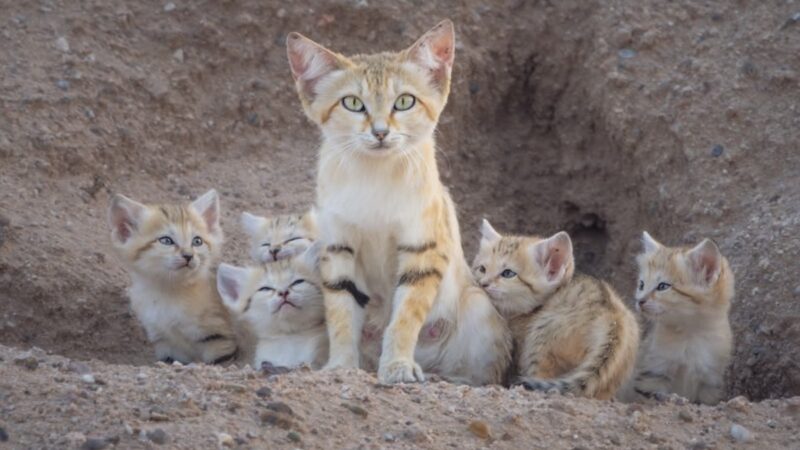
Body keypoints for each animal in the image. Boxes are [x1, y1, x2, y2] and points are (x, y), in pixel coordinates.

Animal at [108, 190, 238, 366]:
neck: (168, 293)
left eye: (197, 241)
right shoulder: (165, 344)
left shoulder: (219, 337)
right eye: (166, 240)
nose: (188, 255)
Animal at [286, 20, 512, 384]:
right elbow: (341, 314)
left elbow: (405, 315)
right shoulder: (338, 247)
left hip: (479, 308)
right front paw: (341, 367)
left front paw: (397, 365)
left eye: (404, 101)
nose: (380, 132)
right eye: (352, 103)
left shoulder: (423, 248)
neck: (374, 177)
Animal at [620, 232, 736, 404]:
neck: (691, 335)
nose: (639, 301)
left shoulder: (711, 382)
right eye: (641, 285)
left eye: (662, 286)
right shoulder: (653, 373)